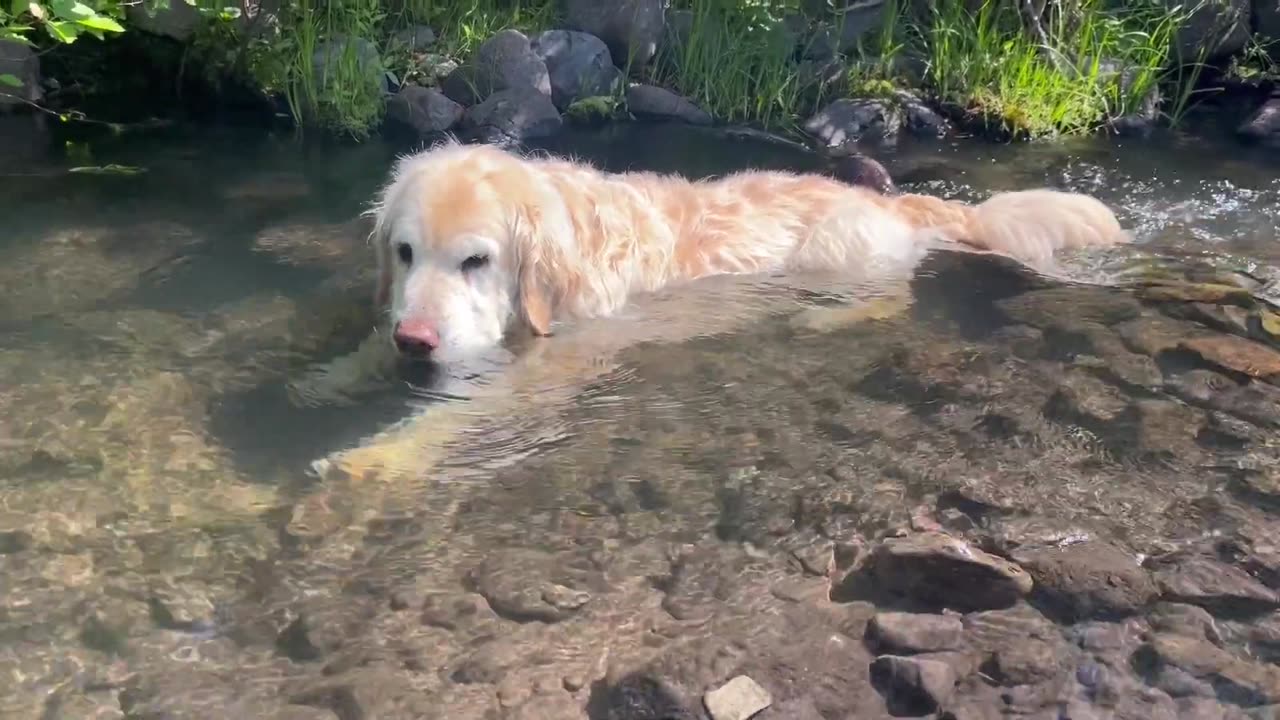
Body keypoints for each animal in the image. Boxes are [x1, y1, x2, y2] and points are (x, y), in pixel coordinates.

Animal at [368, 139, 1121, 363]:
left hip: (839, 250)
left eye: (476, 261)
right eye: (404, 253)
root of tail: (891, 200)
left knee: (886, 299)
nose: (413, 341)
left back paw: (822, 318)